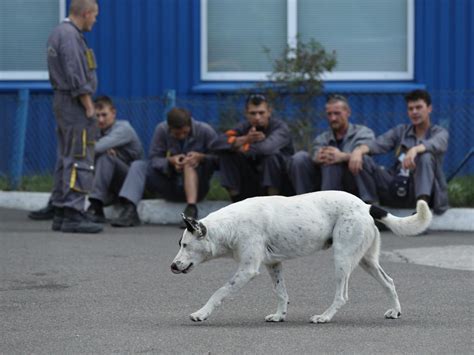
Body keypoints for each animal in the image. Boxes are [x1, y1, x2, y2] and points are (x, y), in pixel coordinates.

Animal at [171, 192, 434, 326]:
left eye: (185, 245)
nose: (172, 266)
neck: (230, 226)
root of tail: (365, 205)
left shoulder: (247, 270)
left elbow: (219, 292)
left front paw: (202, 313)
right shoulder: (273, 265)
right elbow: (281, 293)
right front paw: (280, 315)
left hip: (342, 259)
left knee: (342, 295)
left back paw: (325, 316)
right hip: (366, 261)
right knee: (389, 282)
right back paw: (395, 311)